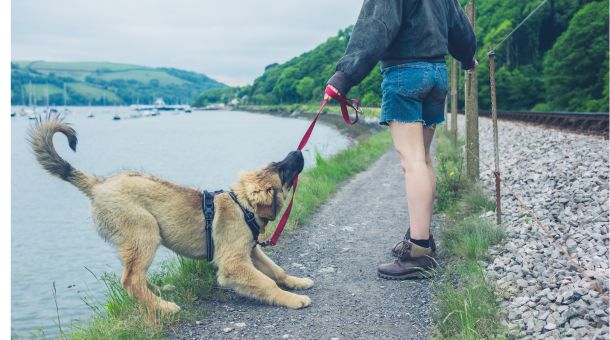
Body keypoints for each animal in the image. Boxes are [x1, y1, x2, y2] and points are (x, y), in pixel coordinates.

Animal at [28, 119, 314, 314]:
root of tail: (97, 184)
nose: (298, 152)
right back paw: (163, 307)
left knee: (135, 276)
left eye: (277, 164)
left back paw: (159, 293)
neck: (243, 205)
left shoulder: (251, 251)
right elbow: (266, 283)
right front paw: (292, 299)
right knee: (130, 280)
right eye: (282, 170)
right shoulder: (233, 263)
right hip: (145, 231)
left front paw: (296, 282)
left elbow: (276, 271)